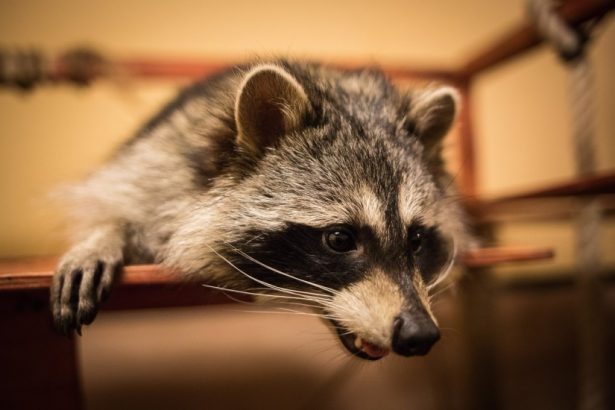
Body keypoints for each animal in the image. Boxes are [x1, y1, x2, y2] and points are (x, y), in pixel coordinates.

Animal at [51, 60, 472, 358]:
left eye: (416, 239)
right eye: (340, 239)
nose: (419, 334)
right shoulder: (161, 158)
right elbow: (115, 198)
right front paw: (104, 235)